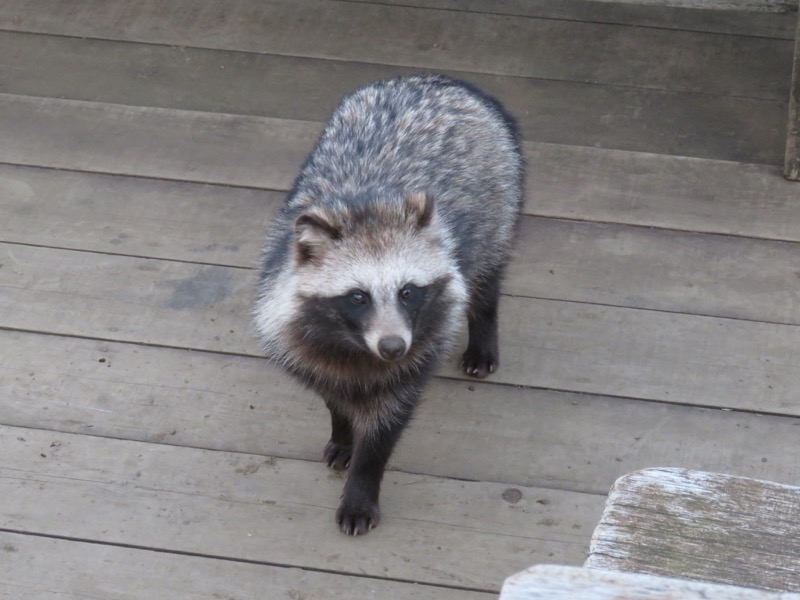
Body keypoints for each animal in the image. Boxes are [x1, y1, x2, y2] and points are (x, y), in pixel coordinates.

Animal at [253, 74, 520, 536]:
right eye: (358, 296)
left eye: (408, 292)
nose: (393, 347)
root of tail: (442, 81)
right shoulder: (302, 333)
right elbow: (332, 391)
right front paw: (343, 430)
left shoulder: (420, 345)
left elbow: (387, 423)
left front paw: (362, 484)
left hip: (498, 203)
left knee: (486, 278)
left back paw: (484, 327)